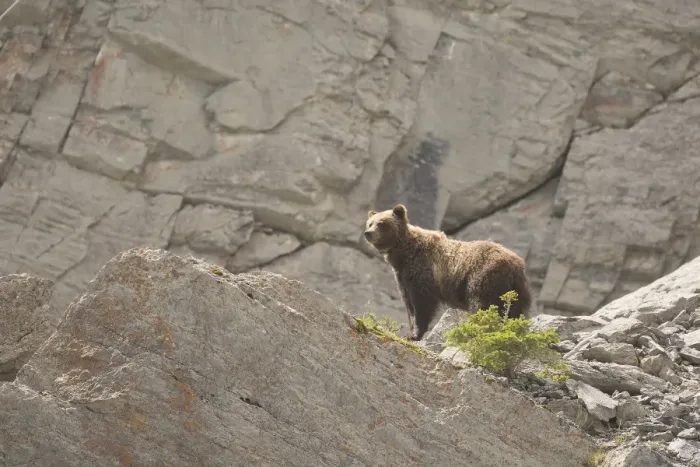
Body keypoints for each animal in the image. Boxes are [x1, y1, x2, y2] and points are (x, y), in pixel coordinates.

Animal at [363, 204, 533, 341]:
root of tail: (516, 265)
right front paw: (409, 332)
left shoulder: (422, 269)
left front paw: (415, 334)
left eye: (381, 223)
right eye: (370, 223)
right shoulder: (402, 277)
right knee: (516, 311)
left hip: (483, 277)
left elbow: (422, 303)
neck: (404, 252)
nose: (368, 233)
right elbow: (408, 304)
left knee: (481, 304)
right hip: (517, 289)